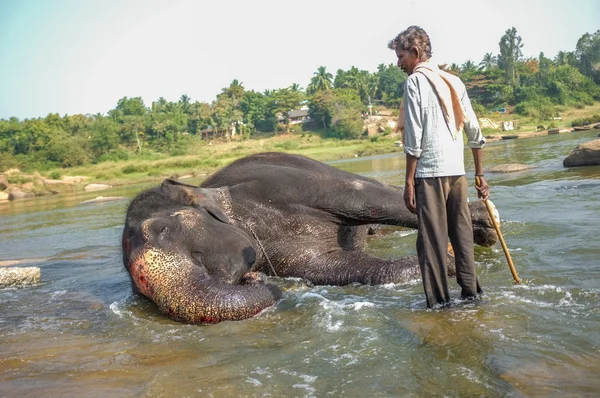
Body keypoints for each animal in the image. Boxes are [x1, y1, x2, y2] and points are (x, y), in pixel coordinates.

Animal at [122, 152, 496, 324]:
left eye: (163, 229)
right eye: (139, 290)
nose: (255, 279)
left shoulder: (281, 184)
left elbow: (361, 198)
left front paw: (479, 229)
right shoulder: (284, 258)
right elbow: (342, 267)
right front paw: (447, 261)